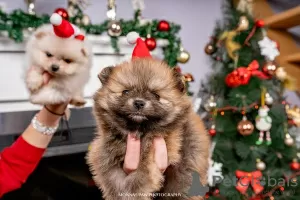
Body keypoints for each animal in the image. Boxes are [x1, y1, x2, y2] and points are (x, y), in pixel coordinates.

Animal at [86, 58, 209, 200]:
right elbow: (112, 179)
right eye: (125, 92)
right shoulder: (105, 154)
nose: (139, 103)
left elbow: (137, 182)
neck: (138, 131)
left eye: (156, 95)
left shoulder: (150, 159)